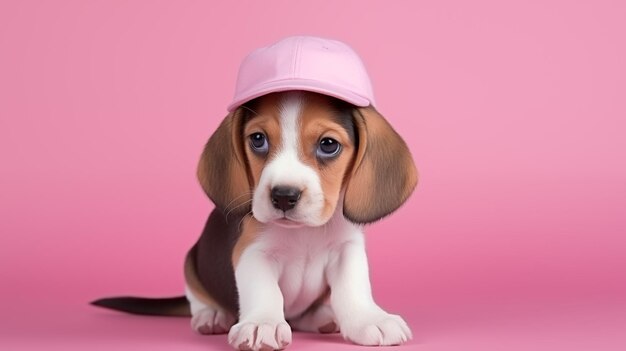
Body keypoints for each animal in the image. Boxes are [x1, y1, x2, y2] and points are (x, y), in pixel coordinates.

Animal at [91, 90, 414, 350]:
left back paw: (320, 317)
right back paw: (211, 316)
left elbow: (354, 287)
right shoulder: (252, 252)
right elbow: (264, 290)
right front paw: (263, 323)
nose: (284, 196)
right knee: (198, 299)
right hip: (190, 262)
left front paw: (370, 318)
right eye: (258, 140)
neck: (304, 233)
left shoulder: (347, 250)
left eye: (328, 144)